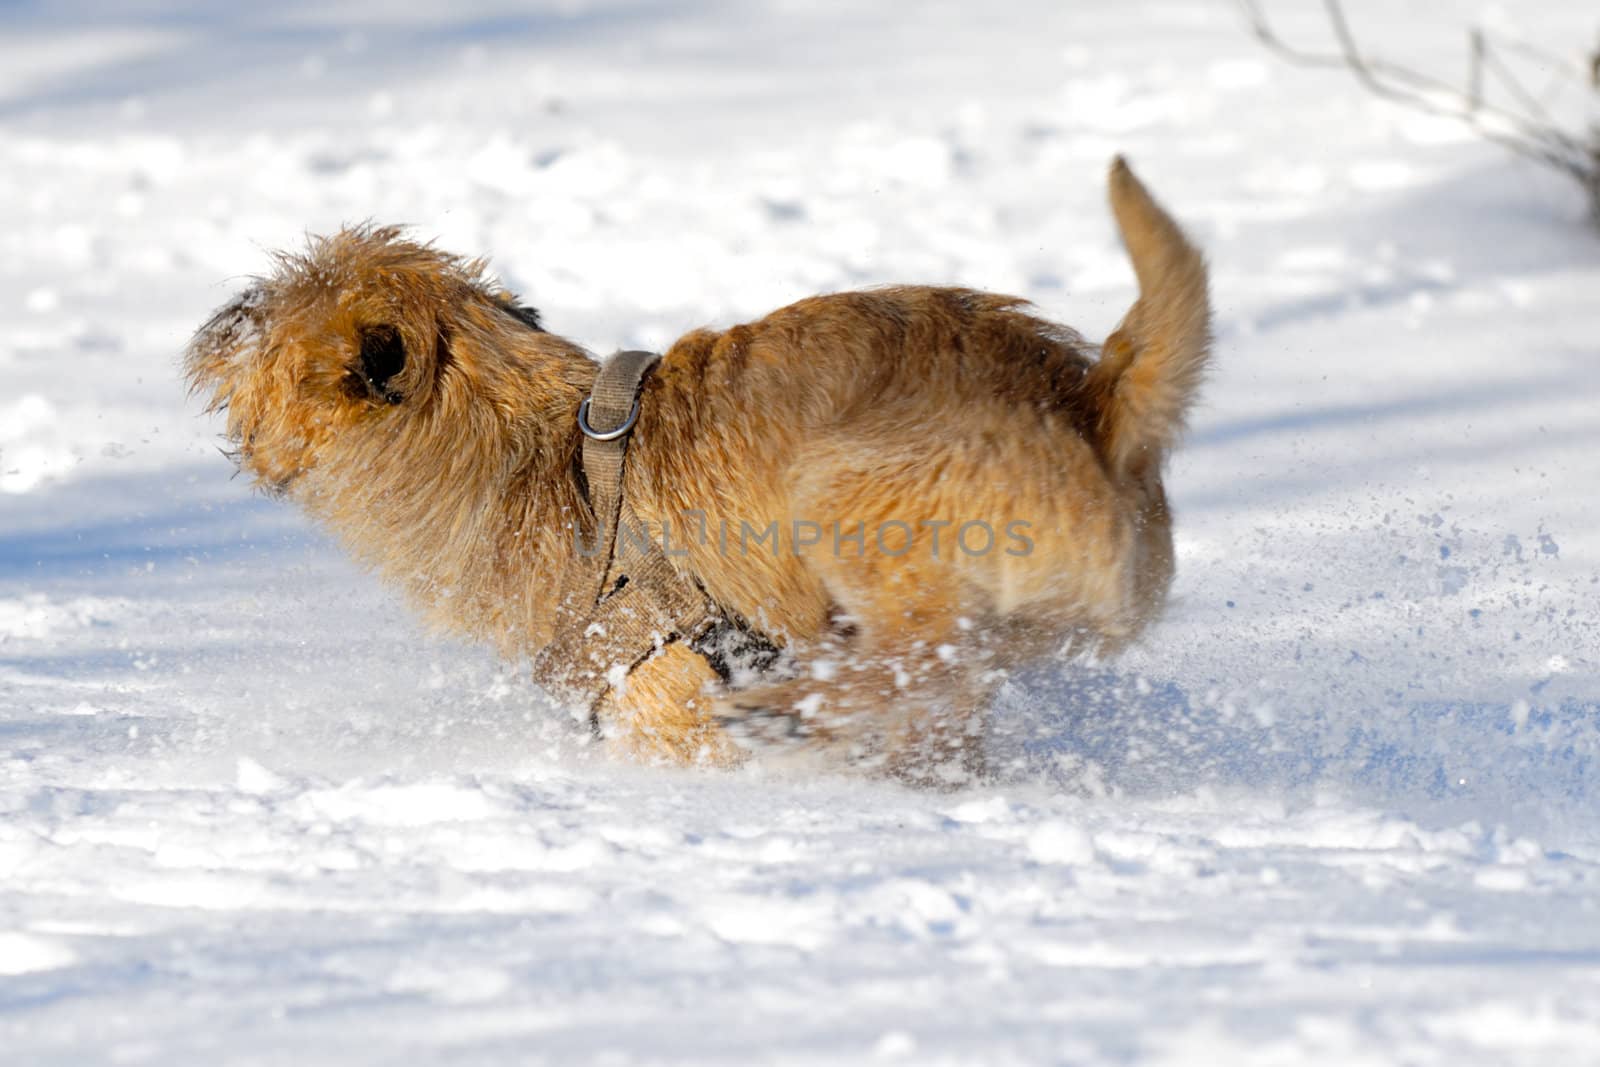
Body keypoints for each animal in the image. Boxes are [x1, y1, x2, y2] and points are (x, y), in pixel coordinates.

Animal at [184, 154, 1209, 780]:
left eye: (273, 317)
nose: (225, 310)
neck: (528, 455)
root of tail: (1093, 400)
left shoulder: (661, 695)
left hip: (847, 493)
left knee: (905, 650)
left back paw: (799, 703)